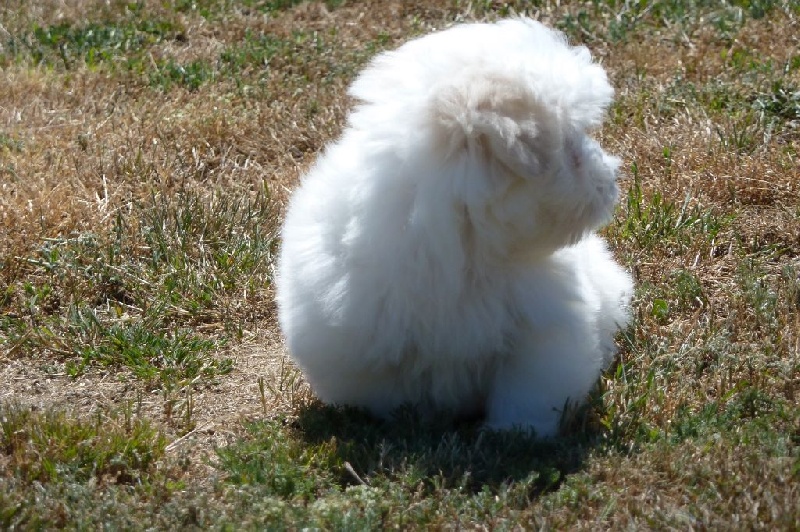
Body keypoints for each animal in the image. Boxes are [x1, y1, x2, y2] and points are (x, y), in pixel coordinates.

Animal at [278, 18, 636, 438]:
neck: (466, 245)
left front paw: (517, 432)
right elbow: (389, 391)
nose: (611, 178)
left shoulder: (540, 335)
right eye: (571, 150)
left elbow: (526, 388)